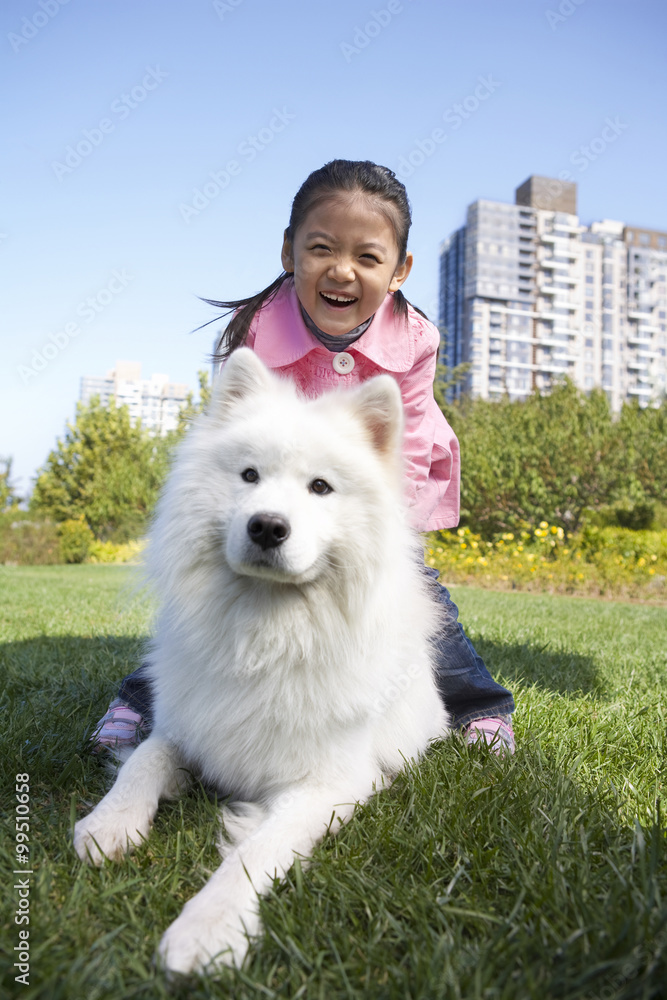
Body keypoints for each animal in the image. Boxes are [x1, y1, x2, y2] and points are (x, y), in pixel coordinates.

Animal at [74, 348, 448, 972]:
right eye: (249, 475)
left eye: (320, 487)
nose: (268, 526)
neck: (265, 635)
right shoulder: (186, 728)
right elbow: (141, 763)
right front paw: (110, 823)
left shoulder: (326, 786)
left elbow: (252, 854)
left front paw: (206, 929)